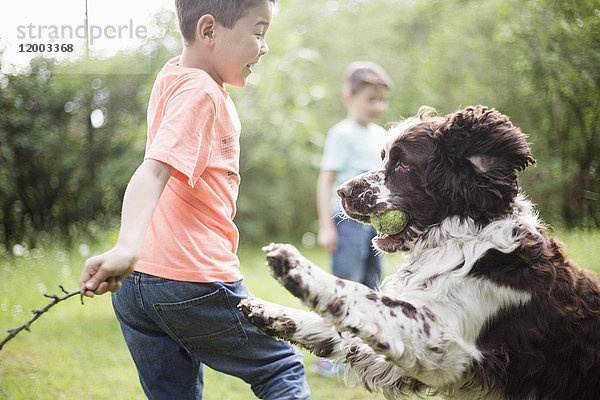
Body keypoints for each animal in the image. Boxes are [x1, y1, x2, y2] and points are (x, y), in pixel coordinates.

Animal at [239, 106, 600, 400]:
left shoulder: (443, 344)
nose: (341, 191)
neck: (463, 240)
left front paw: (296, 266)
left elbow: (359, 294)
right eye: (384, 157)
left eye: (403, 164)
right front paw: (266, 310)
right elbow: (338, 323)